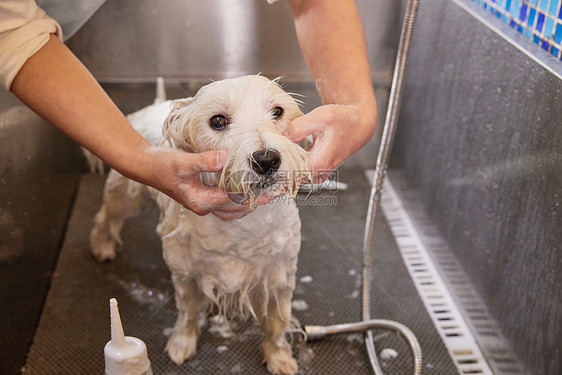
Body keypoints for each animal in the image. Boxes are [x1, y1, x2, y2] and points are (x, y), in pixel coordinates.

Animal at [91, 75, 310, 374]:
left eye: (277, 111)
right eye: (217, 121)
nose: (266, 160)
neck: (241, 229)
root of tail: (155, 104)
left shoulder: (279, 278)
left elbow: (277, 323)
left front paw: (279, 357)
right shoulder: (186, 274)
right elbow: (189, 312)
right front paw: (181, 343)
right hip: (125, 194)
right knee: (107, 217)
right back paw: (102, 246)